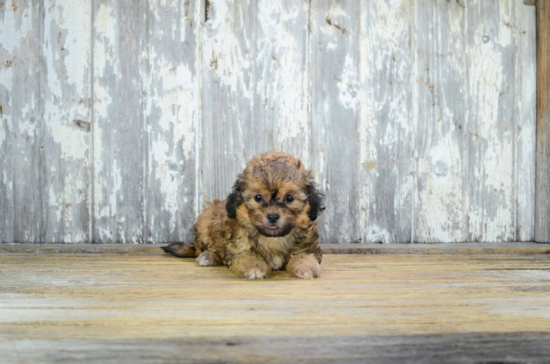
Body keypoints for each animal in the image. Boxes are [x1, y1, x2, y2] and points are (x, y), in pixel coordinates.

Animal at [164, 151, 328, 278]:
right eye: (258, 197)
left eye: (289, 198)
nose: (273, 216)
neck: (272, 238)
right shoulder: (239, 247)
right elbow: (247, 257)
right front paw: (255, 268)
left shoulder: (308, 247)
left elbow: (305, 257)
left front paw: (307, 268)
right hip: (205, 221)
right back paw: (208, 256)